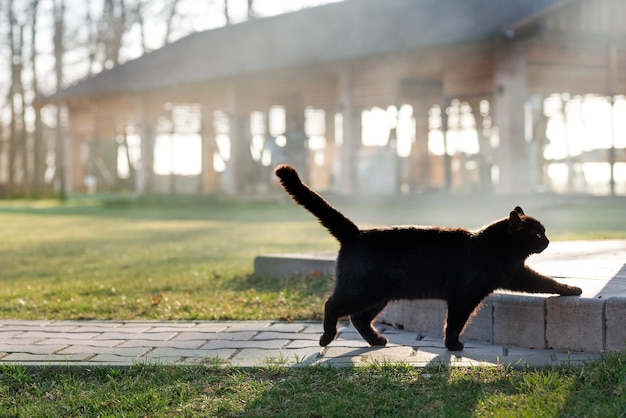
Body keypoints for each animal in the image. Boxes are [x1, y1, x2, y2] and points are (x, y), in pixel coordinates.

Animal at [276, 163, 584, 350]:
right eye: (537, 234)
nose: (548, 241)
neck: (490, 245)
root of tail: (356, 232)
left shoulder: (514, 276)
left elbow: (546, 281)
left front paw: (572, 289)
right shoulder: (466, 296)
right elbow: (455, 322)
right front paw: (453, 346)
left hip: (379, 297)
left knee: (358, 319)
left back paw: (376, 340)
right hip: (360, 291)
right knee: (332, 306)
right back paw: (327, 337)